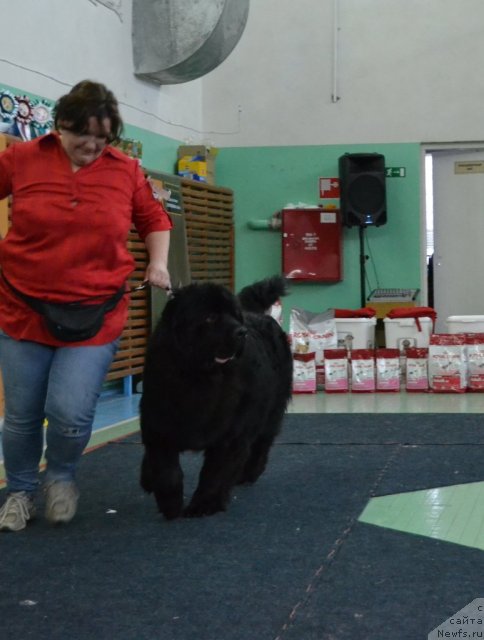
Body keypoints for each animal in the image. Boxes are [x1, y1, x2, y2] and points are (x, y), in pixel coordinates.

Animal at [138, 276, 294, 520]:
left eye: (234, 315)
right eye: (210, 317)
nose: (242, 332)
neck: (199, 378)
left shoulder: (231, 432)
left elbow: (215, 473)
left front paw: (204, 505)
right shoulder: (159, 422)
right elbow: (166, 470)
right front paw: (170, 504)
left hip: (270, 410)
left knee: (261, 443)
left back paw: (248, 473)